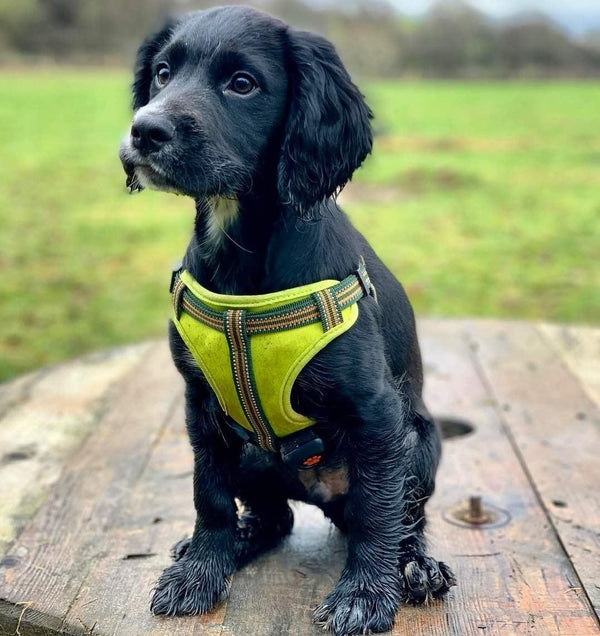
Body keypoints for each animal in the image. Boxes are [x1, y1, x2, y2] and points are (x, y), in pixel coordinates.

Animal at [118, 6, 454, 636]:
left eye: (242, 84)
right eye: (162, 73)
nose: (144, 131)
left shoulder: (376, 411)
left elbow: (377, 512)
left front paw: (365, 595)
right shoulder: (200, 404)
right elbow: (209, 496)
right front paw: (200, 571)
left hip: (417, 445)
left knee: (402, 518)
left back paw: (416, 567)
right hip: (252, 454)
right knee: (275, 518)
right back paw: (237, 542)